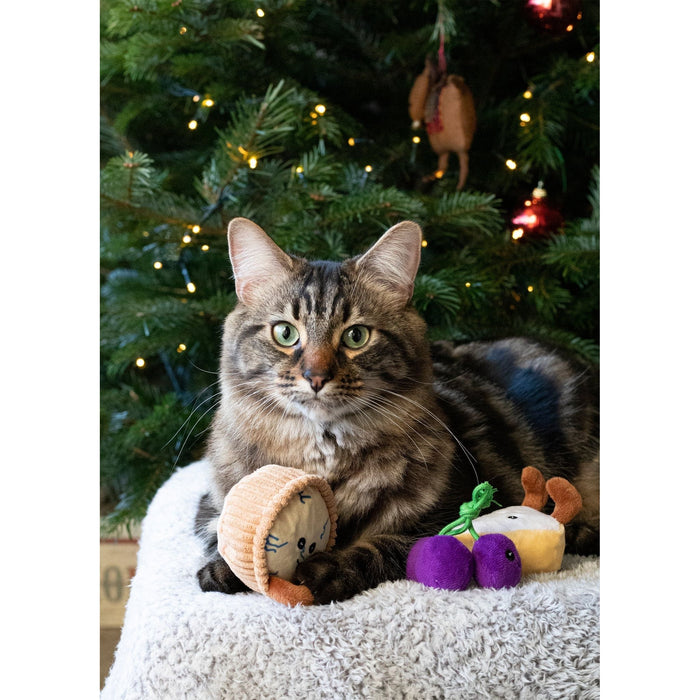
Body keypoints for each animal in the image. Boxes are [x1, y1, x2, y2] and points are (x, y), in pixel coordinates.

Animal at [194, 217, 600, 600]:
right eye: (285, 333)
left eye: (356, 336)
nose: (316, 376)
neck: (325, 457)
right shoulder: (209, 506)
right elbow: (220, 535)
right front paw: (229, 568)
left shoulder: (445, 518)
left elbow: (379, 548)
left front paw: (326, 569)